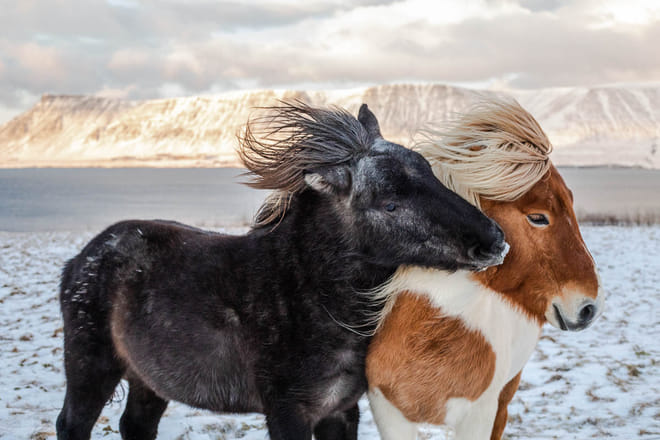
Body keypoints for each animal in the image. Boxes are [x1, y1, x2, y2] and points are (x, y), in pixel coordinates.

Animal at [56, 101, 508, 440]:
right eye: (390, 203)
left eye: (431, 174)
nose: (495, 241)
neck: (306, 294)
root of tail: (81, 260)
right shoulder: (288, 412)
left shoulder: (340, 411)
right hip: (91, 367)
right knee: (72, 423)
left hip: (147, 379)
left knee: (135, 425)